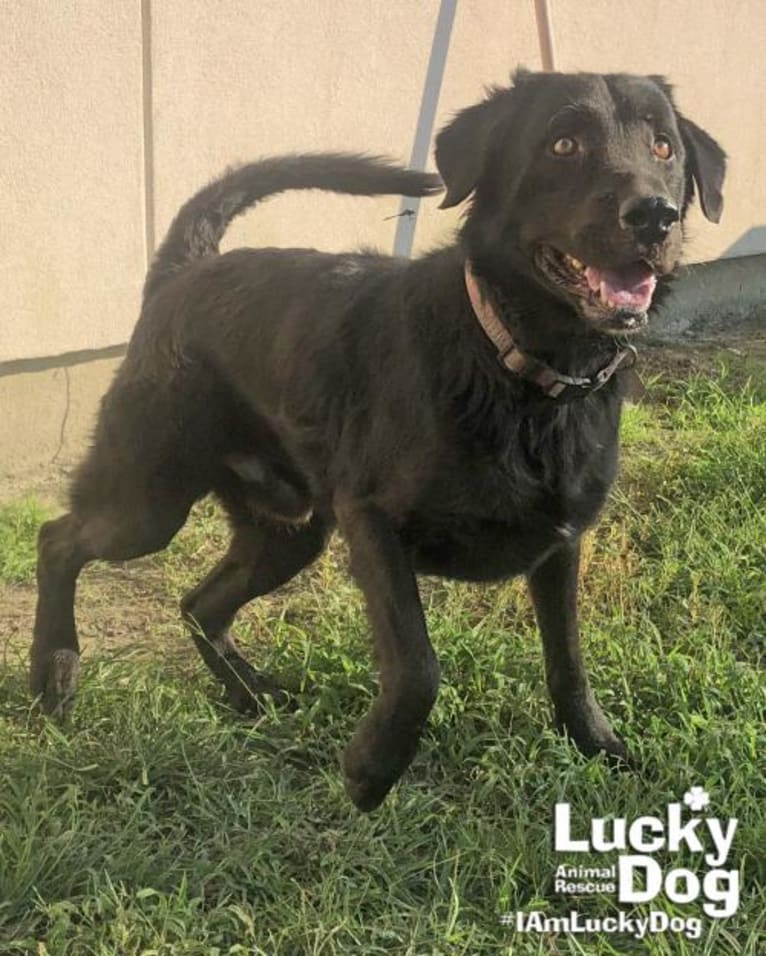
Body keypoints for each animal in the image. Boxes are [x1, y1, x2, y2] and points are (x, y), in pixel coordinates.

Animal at [31, 71, 728, 812]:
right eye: (563, 143)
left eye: (663, 146)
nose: (654, 216)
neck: (510, 364)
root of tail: (183, 271)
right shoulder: (371, 522)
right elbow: (418, 663)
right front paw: (374, 768)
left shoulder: (560, 545)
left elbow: (567, 659)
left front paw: (599, 747)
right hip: (147, 501)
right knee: (59, 540)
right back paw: (53, 673)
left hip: (288, 533)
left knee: (197, 605)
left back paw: (252, 695)